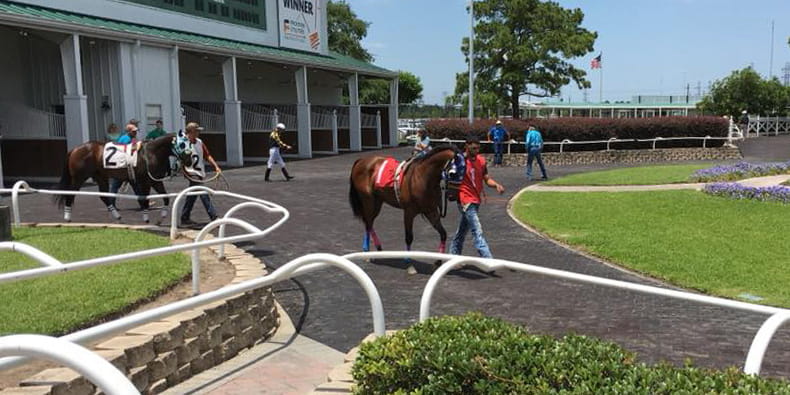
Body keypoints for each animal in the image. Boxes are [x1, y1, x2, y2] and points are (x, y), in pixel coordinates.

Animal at [55, 135, 186, 224]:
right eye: (184, 145)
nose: (188, 161)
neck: (150, 153)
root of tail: (74, 150)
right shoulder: (145, 181)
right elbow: (144, 198)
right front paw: (146, 218)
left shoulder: (155, 181)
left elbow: (165, 197)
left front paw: (161, 218)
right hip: (79, 177)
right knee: (70, 193)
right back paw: (67, 217)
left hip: (100, 177)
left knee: (104, 196)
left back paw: (118, 217)